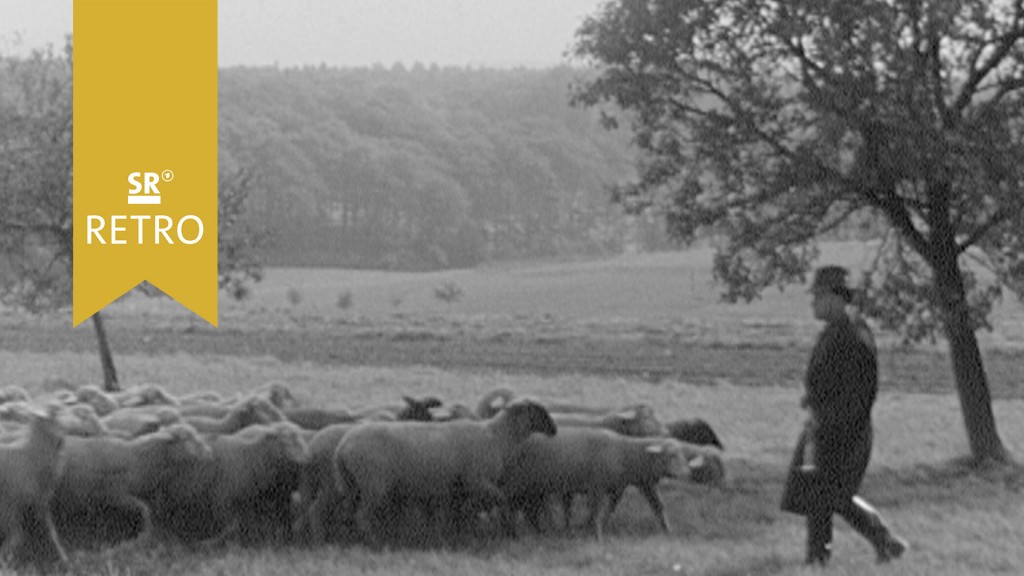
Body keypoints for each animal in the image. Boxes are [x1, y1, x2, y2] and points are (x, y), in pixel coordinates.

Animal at [52, 422, 214, 545]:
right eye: (188, 437)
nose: (209, 451)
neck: (137, 459)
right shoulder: (113, 495)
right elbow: (144, 510)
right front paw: (144, 534)